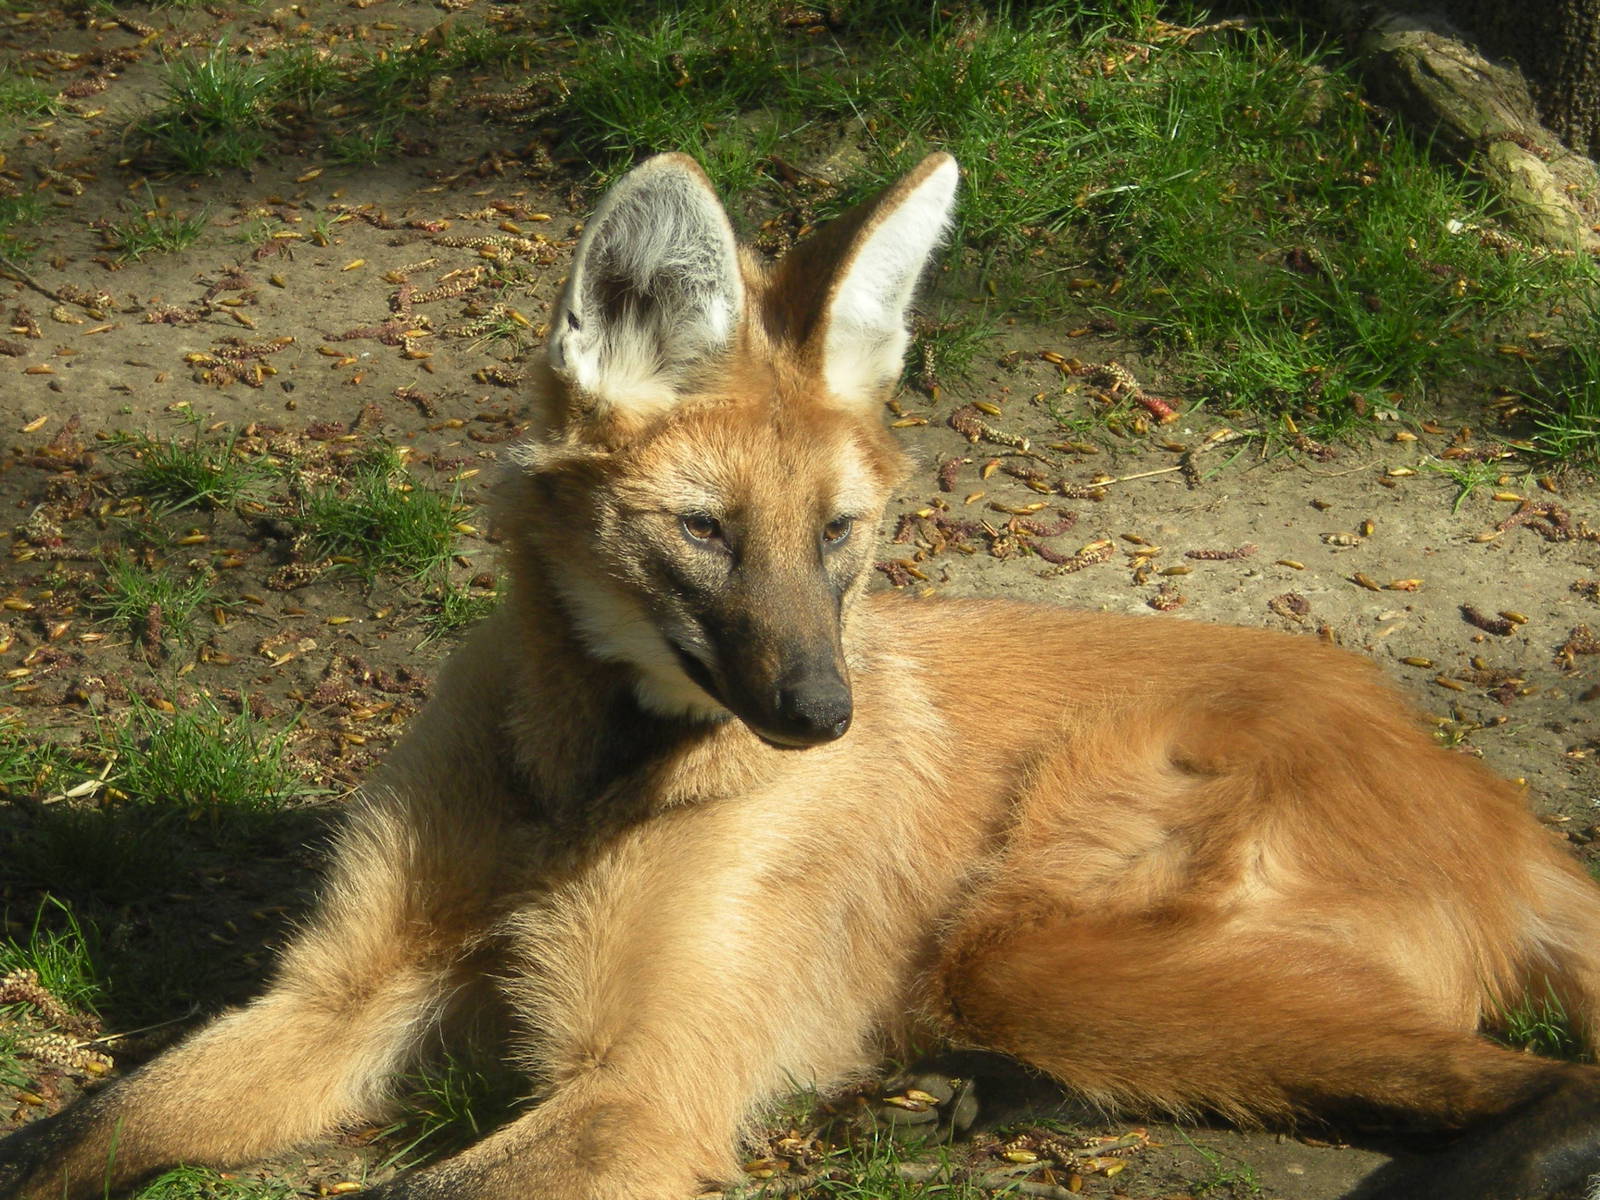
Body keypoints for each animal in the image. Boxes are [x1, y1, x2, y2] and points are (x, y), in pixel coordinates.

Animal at [5, 152, 1600, 1200]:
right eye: (705, 531)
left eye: (838, 534)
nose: (824, 718)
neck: (584, 777)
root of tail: (1496, 799)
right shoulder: (339, 1000)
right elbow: (77, 1134)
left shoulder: (637, 1096)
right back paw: (941, 1092)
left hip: (1027, 922)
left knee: (1543, 1083)